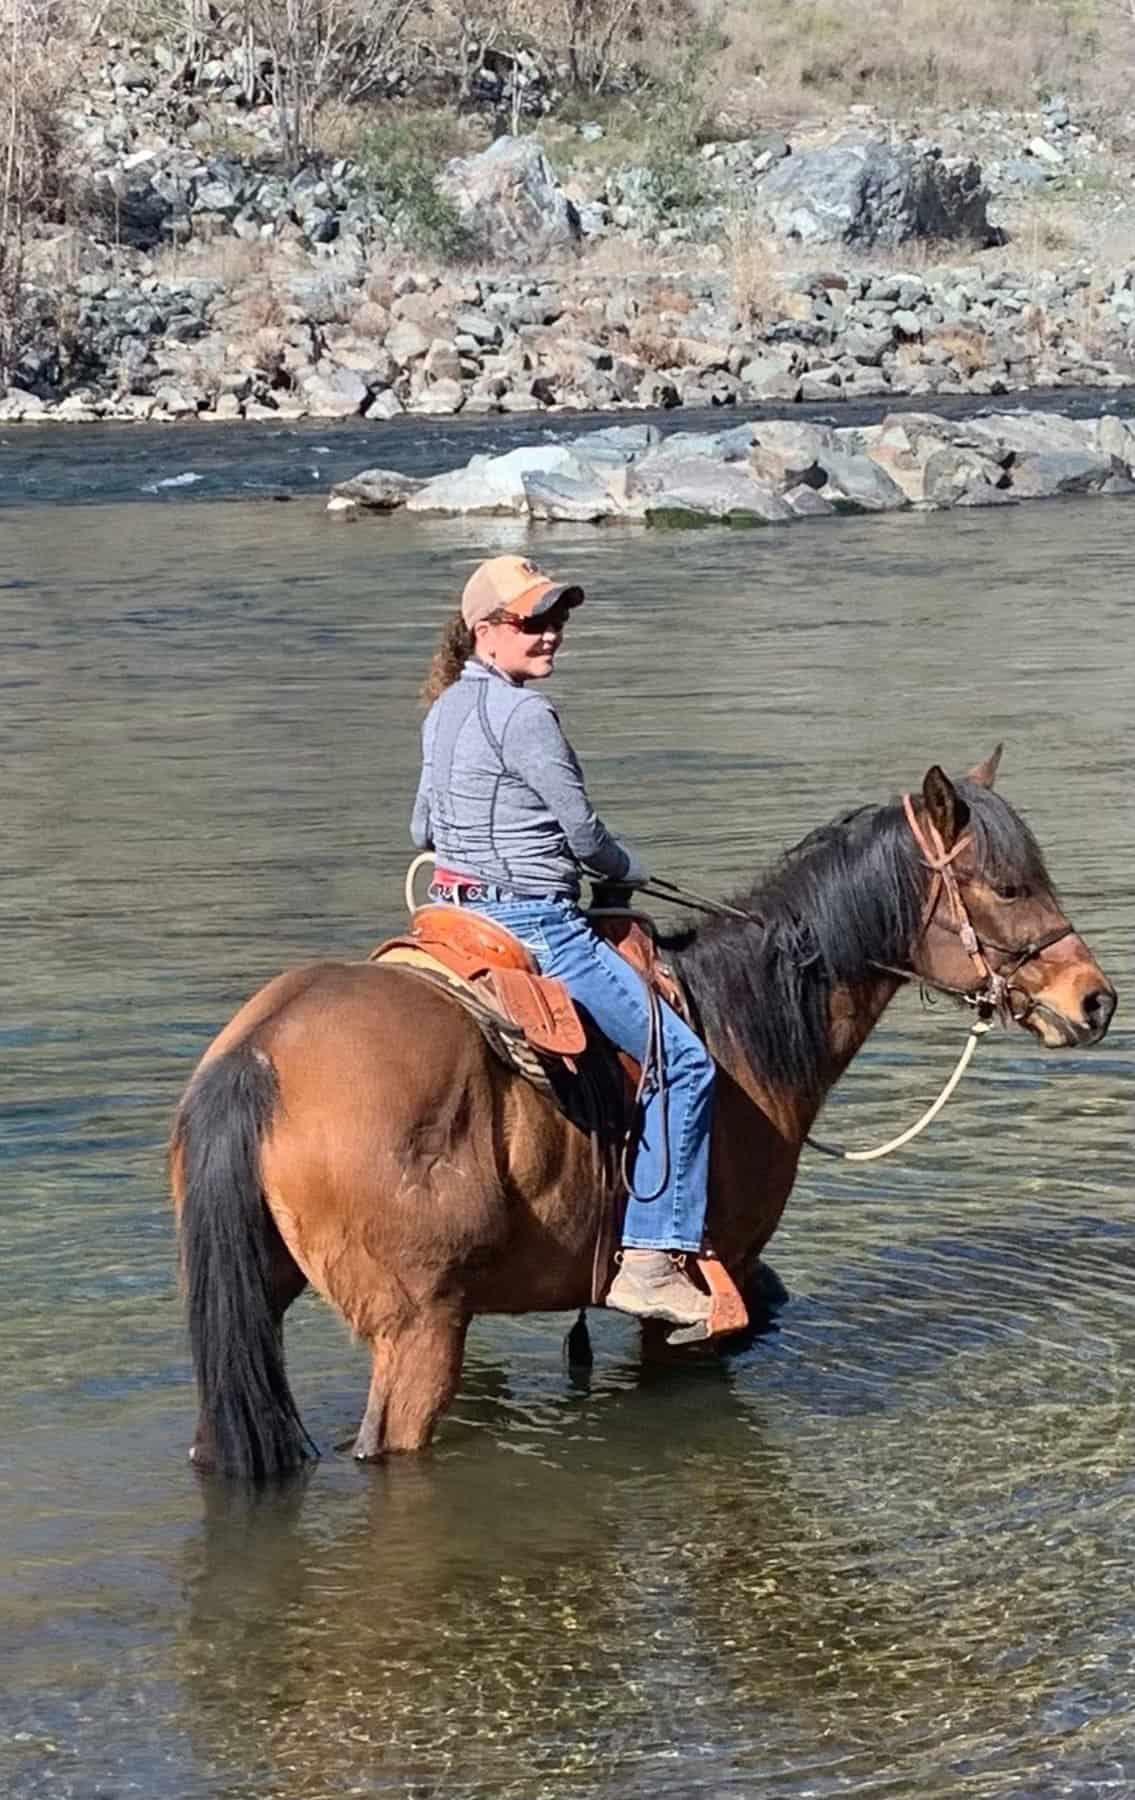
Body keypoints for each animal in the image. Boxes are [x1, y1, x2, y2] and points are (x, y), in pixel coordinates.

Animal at [170, 756, 1122, 1476]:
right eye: (1006, 885)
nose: (1095, 1000)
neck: (738, 1025)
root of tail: (261, 1053)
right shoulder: (714, 1280)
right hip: (420, 1330)